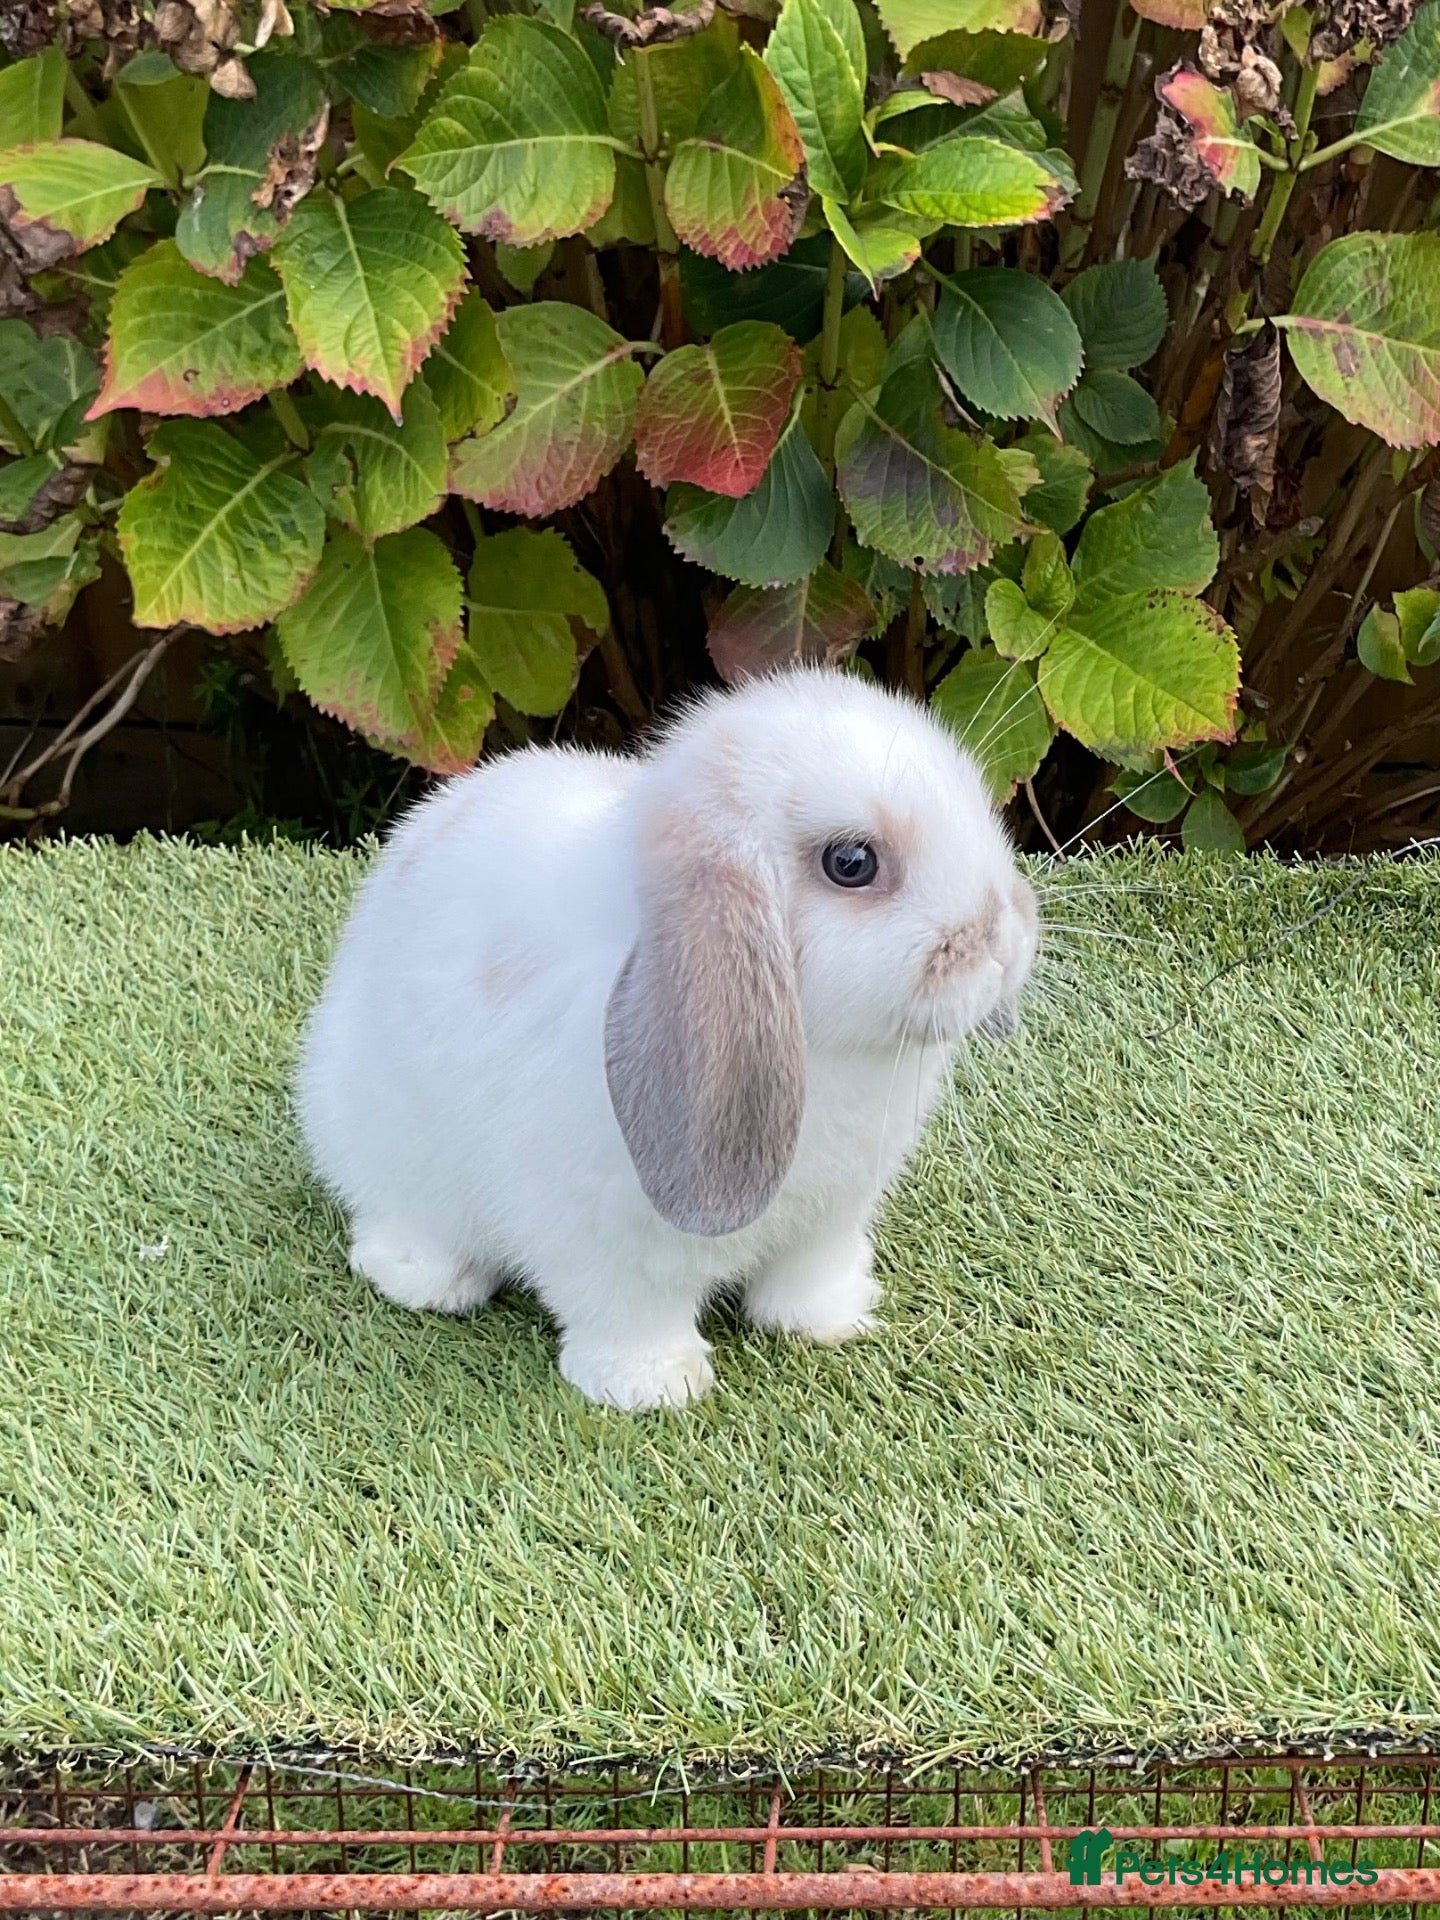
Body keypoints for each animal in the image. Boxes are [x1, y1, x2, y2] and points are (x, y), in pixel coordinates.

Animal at [297, 667, 1039, 1410]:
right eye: (852, 862)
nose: (1002, 938)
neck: (825, 1053)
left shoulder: (832, 1214)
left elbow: (808, 1277)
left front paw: (832, 1319)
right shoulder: (601, 1238)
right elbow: (629, 1311)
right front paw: (652, 1385)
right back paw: (424, 1277)